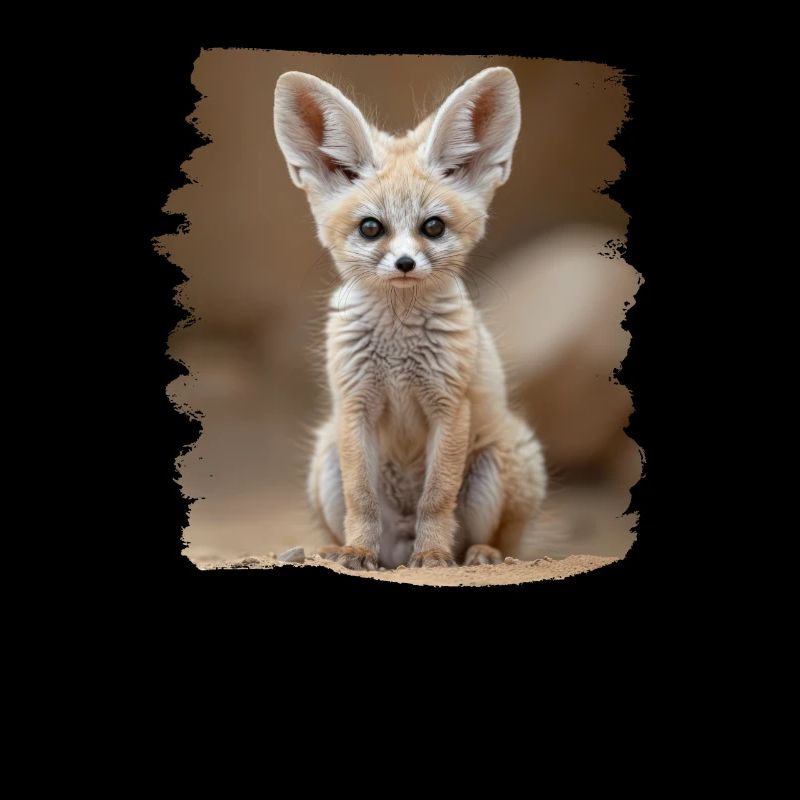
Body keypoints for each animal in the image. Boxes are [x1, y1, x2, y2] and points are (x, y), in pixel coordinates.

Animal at [273, 66, 547, 570]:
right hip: (324, 458)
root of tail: (397, 546)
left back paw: (477, 553)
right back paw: (340, 549)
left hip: (500, 461)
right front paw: (357, 550)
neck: (398, 349)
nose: (405, 264)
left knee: (502, 541)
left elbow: (435, 497)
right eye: (371, 228)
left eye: (432, 227)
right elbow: (361, 498)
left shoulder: (449, 405)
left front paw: (433, 555)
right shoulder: (356, 404)